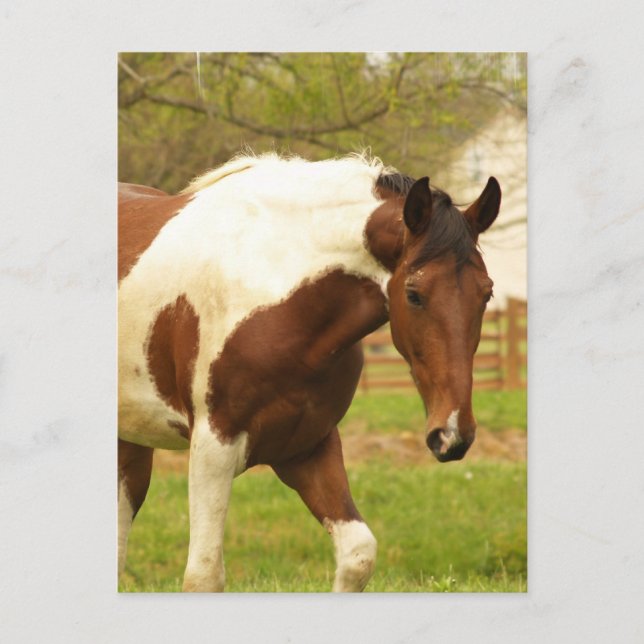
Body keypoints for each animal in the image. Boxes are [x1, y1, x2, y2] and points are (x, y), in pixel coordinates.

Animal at [118, 153, 501, 592]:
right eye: (414, 294)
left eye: (486, 293)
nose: (452, 435)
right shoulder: (213, 447)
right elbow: (204, 576)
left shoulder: (307, 446)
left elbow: (358, 556)